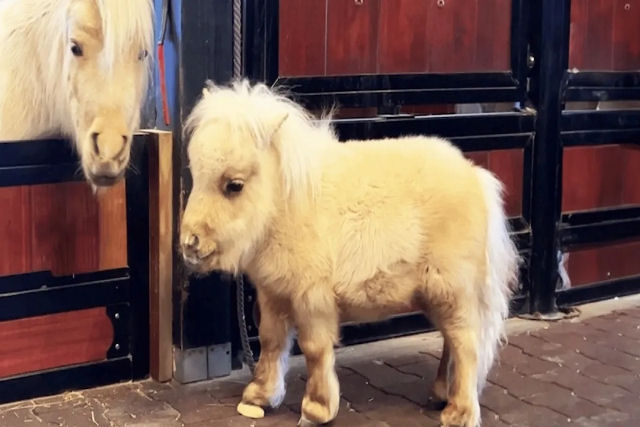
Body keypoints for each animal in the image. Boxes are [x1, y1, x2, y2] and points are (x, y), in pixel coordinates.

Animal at [179, 80, 519, 427]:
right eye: (196, 173)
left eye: (234, 185)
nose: (190, 243)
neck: (289, 204)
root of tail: (475, 176)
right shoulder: (273, 295)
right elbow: (271, 341)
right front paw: (259, 397)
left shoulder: (312, 298)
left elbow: (315, 349)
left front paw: (316, 410)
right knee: (453, 341)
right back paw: (441, 395)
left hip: (452, 290)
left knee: (466, 343)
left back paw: (459, 413)